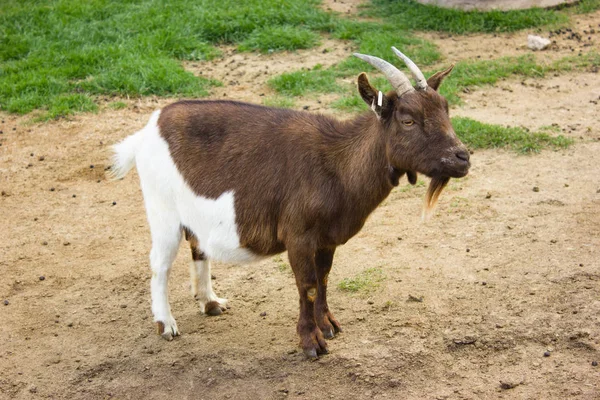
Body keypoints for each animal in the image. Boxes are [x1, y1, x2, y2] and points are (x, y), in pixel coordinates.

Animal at [111, 47, 468, 360]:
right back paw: (166, 324)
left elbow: (324, 278)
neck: (337, 164)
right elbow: (307, 285)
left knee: (197, 246)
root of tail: (145, 133)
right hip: (162, 209)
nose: (462, 157)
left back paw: (210, 302)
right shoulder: (298, 236)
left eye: (446, 109)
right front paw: (312, 343)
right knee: (159, 263)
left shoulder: (327, 238)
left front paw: (328, 325)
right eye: (408, 120)